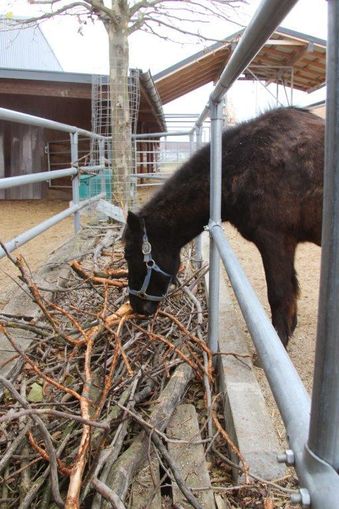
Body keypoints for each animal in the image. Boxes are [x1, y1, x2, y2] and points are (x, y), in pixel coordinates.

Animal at [124, 106, 324, 346]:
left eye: (128, 253)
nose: (137, 306)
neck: (246, 161)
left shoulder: (275, 241)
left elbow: (279, 296)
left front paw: (280, 341)